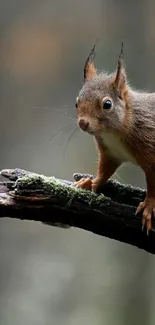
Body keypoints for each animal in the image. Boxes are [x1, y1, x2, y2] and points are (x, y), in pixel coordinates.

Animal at [72, 42, 155, 233]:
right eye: (77, 102)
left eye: (107, 104)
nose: (83, 123)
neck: (113, 133)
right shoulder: (110, 153)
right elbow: (104, 171)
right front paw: (90, 182)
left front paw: (149, 205)